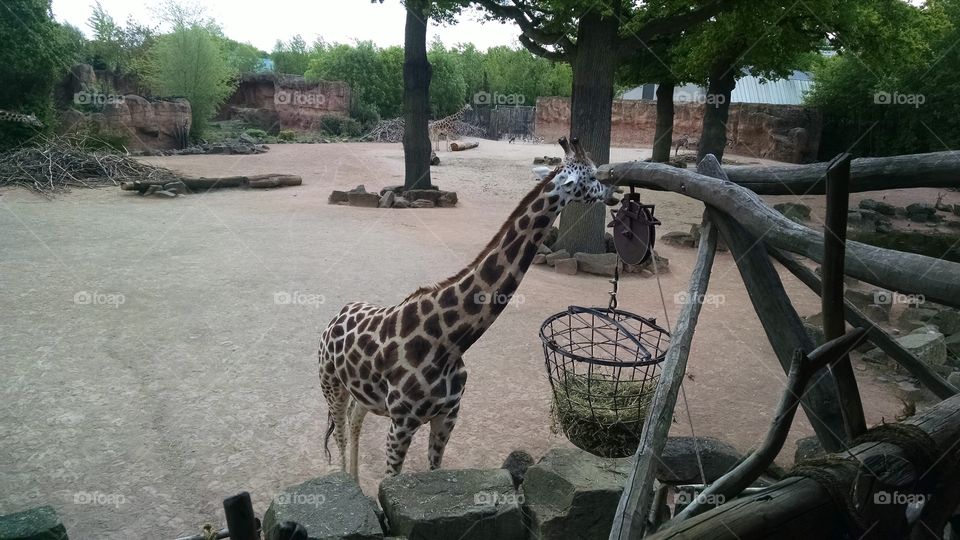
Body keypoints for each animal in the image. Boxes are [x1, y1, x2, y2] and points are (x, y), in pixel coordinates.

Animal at [318, 137, 617, 479]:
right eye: (591, 176)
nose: (614, 191)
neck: (449, 342)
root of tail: (335, 317)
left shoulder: (448, 415)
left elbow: (436, 470)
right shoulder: (402, 422)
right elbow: (389, 480)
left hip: (363, 394)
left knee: (355, 418)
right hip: (330, 383)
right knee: (340, 432)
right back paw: (346, 480)